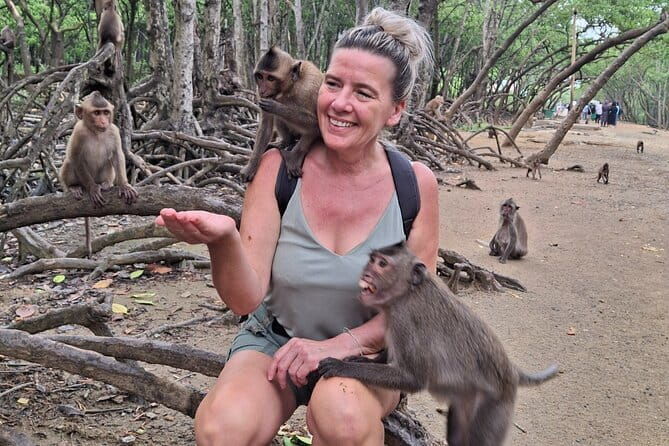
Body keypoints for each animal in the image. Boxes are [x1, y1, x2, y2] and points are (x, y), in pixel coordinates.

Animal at [60, 92, 137, 256]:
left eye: (105, 112)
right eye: (96, 113)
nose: (103, 121)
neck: (96, 132)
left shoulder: (113, 130)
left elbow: (117, 155)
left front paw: (124, 185)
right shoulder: (78, 132)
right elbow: (76, 158)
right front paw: (93, 189)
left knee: (108, 162)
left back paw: (105, 184)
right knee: (70, 162)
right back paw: (75, 187)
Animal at [240, 46, 324, 182]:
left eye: (270, 78)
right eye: (260, 76)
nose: (263, 90)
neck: (289, 88)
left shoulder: (310, 89)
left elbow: (316, 124)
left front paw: (277, 107)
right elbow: (266, 126)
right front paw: (251, 167)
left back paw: (293, 157)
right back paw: (286, 141)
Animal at [317, 242, 558, 446]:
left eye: (382, 264)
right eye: (372, 259)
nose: (366, 272)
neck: (408, 292)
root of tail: (510, 368)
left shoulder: (405, 319)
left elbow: (413, 378)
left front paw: (342, 366)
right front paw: (360, 359)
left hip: (495, 404)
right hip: (467, 399)